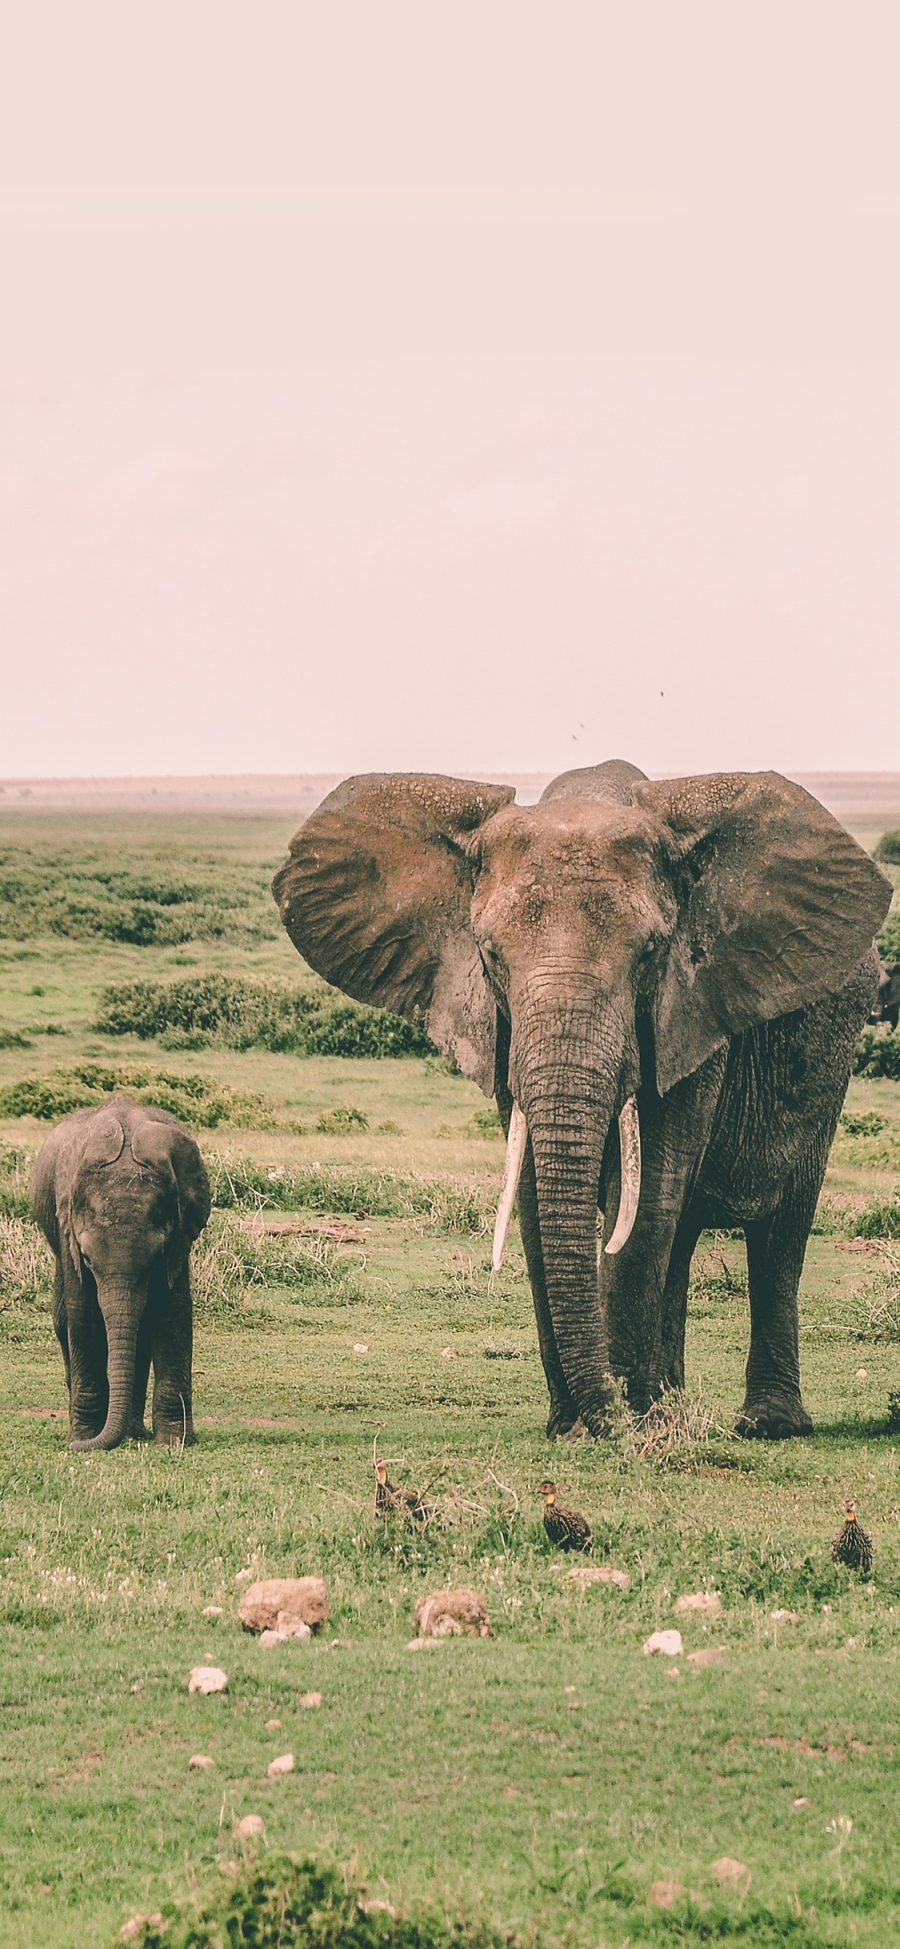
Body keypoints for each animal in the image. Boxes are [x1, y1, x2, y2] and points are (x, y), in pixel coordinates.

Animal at [31, 1099, 211, 1450]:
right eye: (87, 1258)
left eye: (157, 1256)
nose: (72, 1448)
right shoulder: (67, 1228)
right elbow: (83, 1314)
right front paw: (83, 1437)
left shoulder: (179, 1233)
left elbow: (173, 1313)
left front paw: (174, 1443)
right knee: (63, 1319)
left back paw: (133, 1432)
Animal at [270, 767, 888, 1442]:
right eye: (490, 955)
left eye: (651, 952)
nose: (602, 1419)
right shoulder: (505, 1037)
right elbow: (535, 1197)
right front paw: (577, 1427)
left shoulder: (688, 1016)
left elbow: (646, 1203)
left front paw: (622, 1428)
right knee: (684, 1237)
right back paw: (667, 1405)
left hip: (828, 1067)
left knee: (777, 1231)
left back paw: (761, 1425)